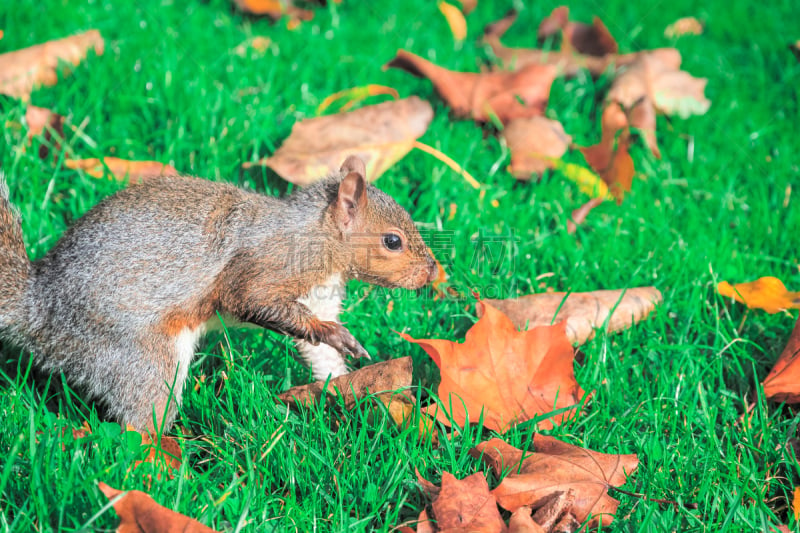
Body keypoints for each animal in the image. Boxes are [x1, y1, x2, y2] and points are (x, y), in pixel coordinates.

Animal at [0, 156, 438, 430]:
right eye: (392, 241)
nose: (433, 271)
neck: (317, 234)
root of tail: (39, 309)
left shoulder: (319, 296)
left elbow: (321, 357)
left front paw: (346, 388)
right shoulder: (269, 264)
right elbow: (249, 297)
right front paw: (333, 335)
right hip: (138, 355)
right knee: (142, 415)